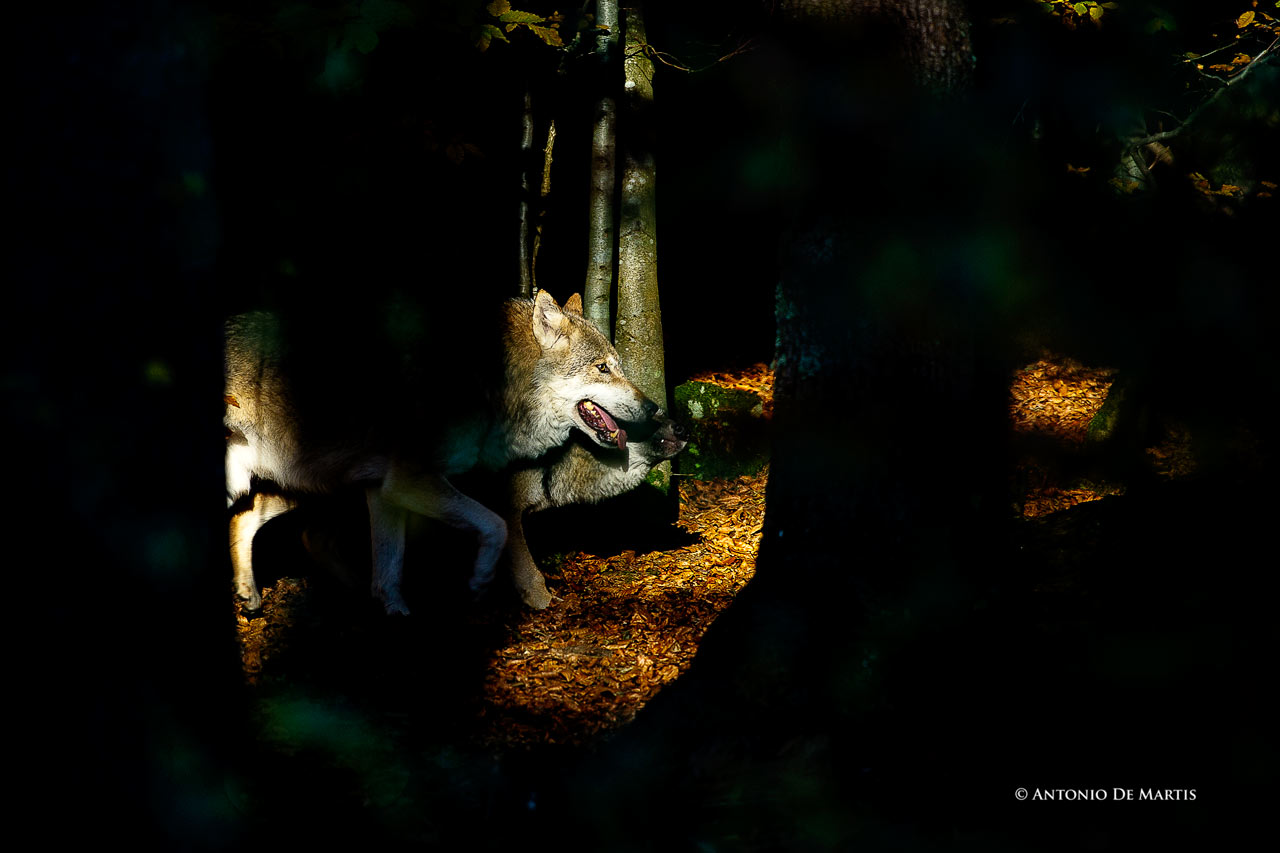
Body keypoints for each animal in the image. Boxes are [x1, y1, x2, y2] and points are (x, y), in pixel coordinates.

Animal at [225, 290, 659, 615]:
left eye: (618, 366)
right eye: (602, 368)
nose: (653, 407)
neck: (491, 384)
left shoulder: (383, 490)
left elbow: (389, 573)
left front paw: (397, 615)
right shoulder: (410, 481)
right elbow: (496, 525)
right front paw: (480, 581)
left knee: (250, 521)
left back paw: (253, 594)